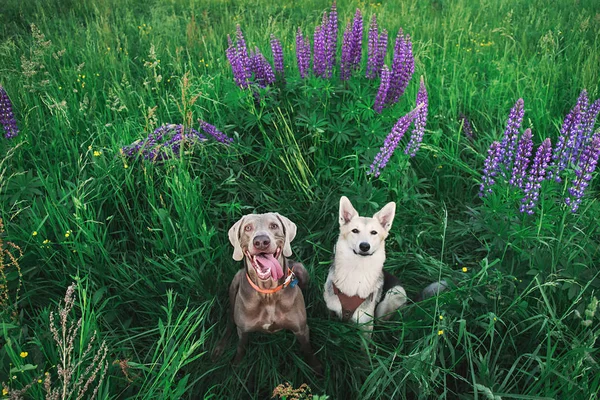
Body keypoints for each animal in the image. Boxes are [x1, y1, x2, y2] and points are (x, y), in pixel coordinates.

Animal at [213, 212, 322, 372]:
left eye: (274, 225)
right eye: (247, 228)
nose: (261, 241)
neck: (268, 293)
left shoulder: (301, 329)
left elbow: (308, 349)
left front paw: (317, 367)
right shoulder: (243, 330)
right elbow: (240, 347)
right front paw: (236, 366)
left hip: (302, 270)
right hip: (234, 284)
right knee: (230, 319)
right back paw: (219, 347)